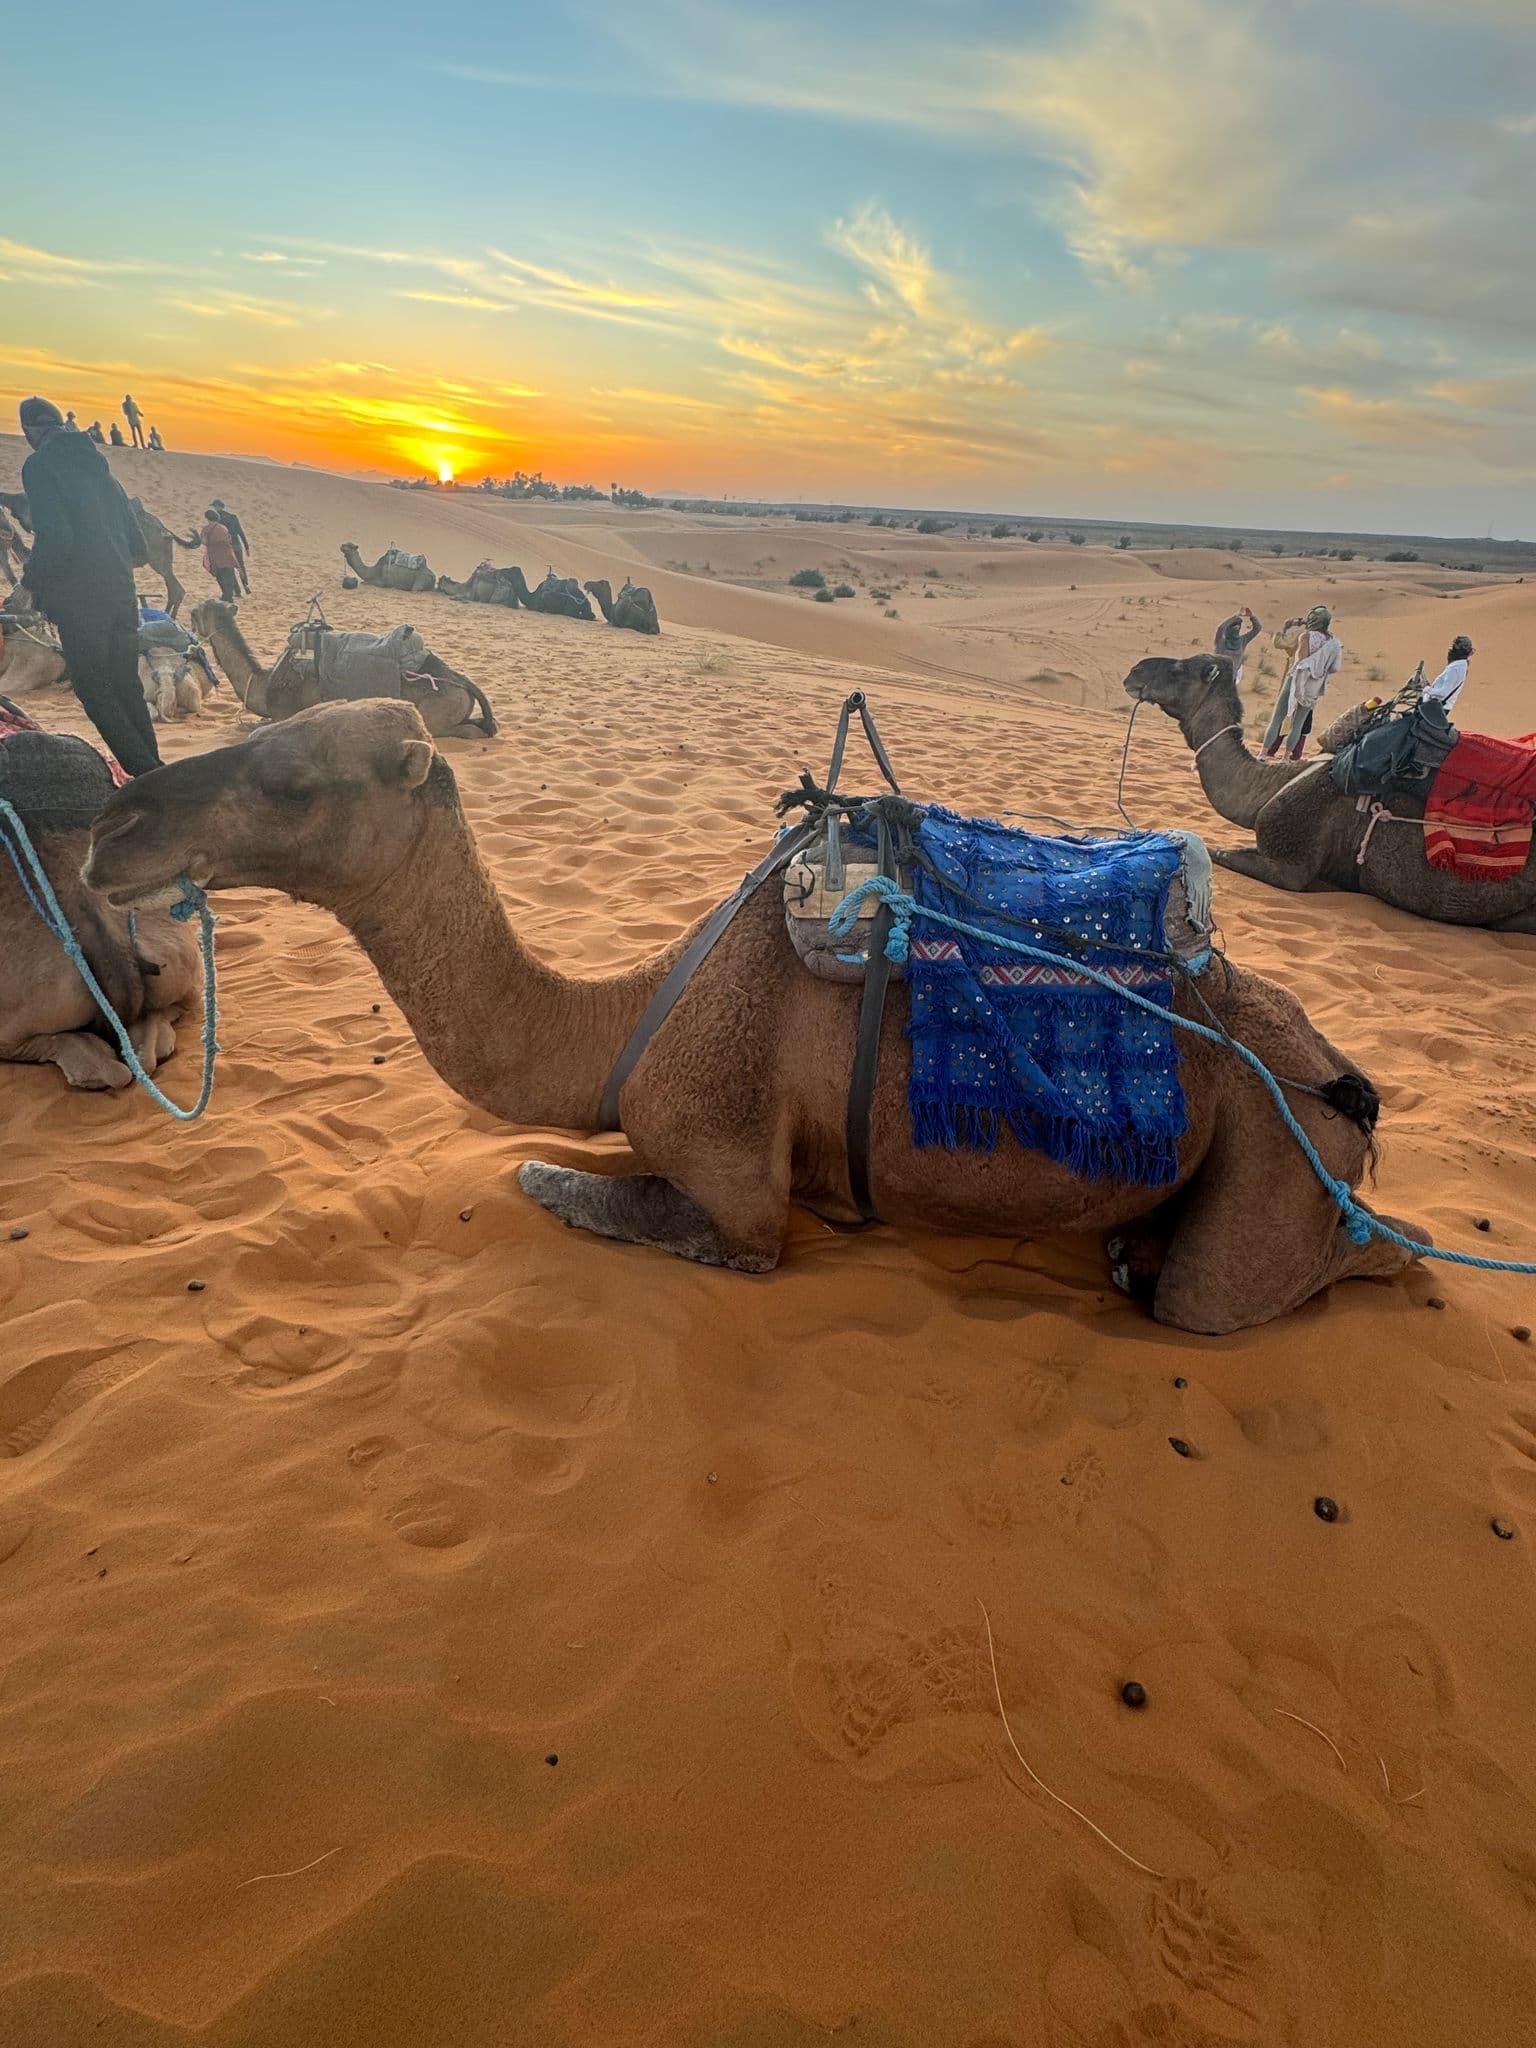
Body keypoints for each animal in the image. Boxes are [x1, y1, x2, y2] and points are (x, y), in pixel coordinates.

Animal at [83, 701, 1427, 1334]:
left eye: (291, 778)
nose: (111, 827)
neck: (625, 1015)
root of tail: (1342, 1079)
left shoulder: (735, 1187)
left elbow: (559, 1181)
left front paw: (550, 1175)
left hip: (1278, 1162)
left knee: (1283, 1275)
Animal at [189, 599, 496, 739]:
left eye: (195, 614)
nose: (191, 630)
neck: (263, 681)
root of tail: (460, 680)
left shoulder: (284, 713)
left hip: (438, 713)